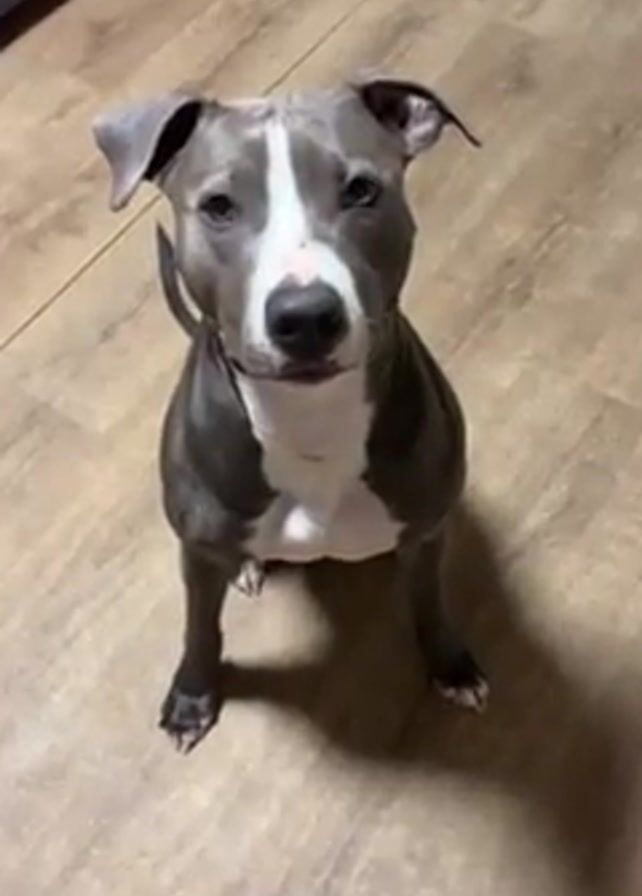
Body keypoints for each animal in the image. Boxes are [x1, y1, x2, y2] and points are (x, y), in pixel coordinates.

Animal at [93, 77, 487, 752]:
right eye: (218, 206)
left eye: (361, 190)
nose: (305, 316)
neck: (311, 418)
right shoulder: (196, 553)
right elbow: (200, 627)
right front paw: (193, 697)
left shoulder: (429, 528)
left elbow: (430, 600)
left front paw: (451, 664)